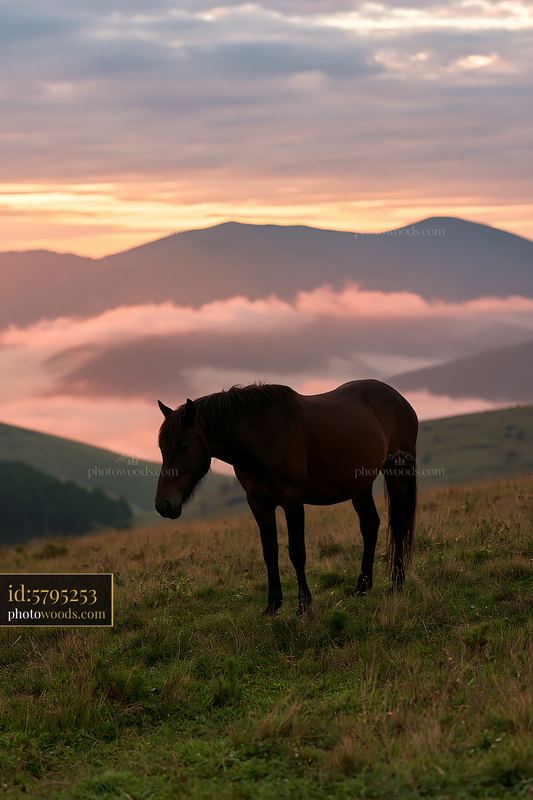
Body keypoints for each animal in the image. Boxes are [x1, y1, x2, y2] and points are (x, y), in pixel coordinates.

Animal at [155, 380, 418, 615]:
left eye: (185, 445)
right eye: (162, 448)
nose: (163, 505)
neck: (263, 437)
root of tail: (400, 400)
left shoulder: (292, 501)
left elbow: (297, 552)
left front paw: (304, 605)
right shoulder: (259, 504)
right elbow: (270, 552)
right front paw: (272, 605)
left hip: (396, 473)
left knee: (398, 524)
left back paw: (396, 584)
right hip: (359, 485)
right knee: (370, 525)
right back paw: (362, 587)